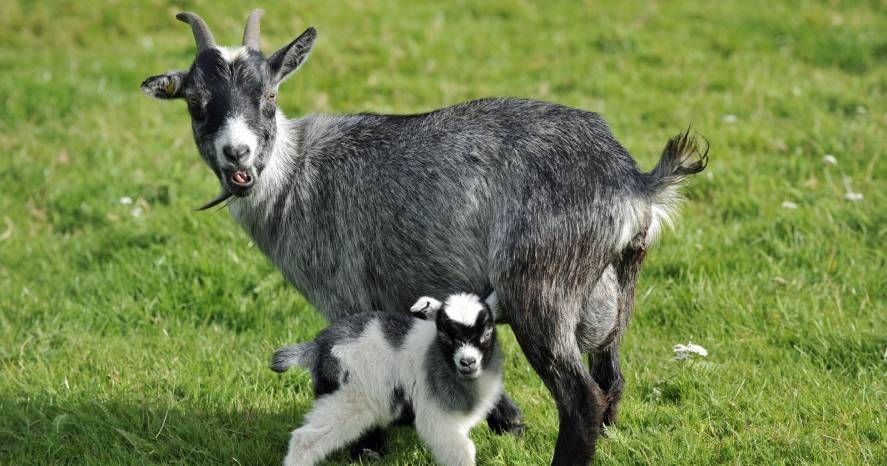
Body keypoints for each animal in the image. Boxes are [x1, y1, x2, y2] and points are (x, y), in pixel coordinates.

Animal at [270, 293, 503, 466]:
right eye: (446, 334)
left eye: (487, 331)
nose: (468, 362)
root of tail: (317, 347)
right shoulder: (436, 418)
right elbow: (462, 451)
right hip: (346, 401)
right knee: (304, 439)